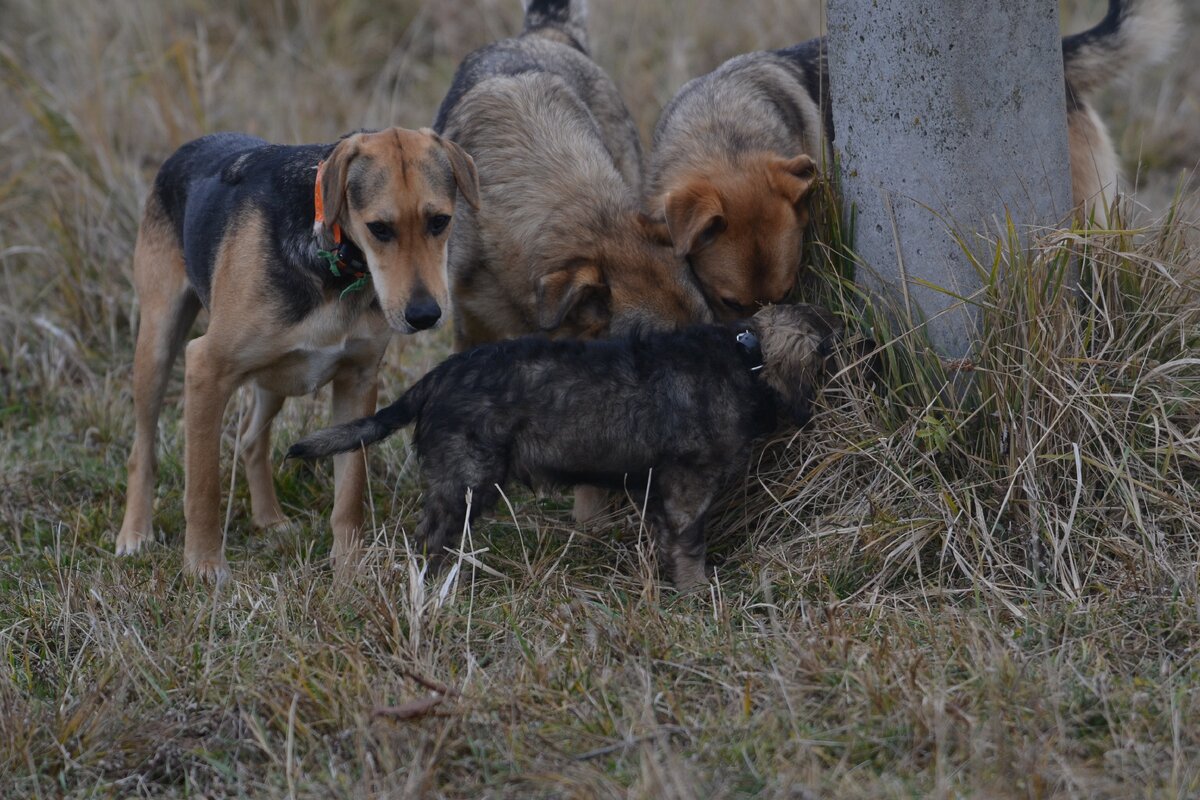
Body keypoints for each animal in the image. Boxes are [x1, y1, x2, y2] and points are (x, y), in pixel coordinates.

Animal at [115, 126, 477, 582]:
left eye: (439, 221)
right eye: (379, 229)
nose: (425, 315)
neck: (332, 261)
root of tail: (193, 146)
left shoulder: (357, 383)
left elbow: (350, 492)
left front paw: (349, 567)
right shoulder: (205, 369)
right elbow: (203, 488)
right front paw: (203, 565)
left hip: (274, 377)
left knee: (251, 440)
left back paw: (269, 520)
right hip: (159, 345)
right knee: (141, 452)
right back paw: (135, 533)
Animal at [285, 303, 840, 592]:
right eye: (828, 350)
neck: (746, 357)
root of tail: (434, 379)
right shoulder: (688, 488)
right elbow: (690, 548)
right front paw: (696, 595)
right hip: (466, 478)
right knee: (430, 539)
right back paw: (440, 588)